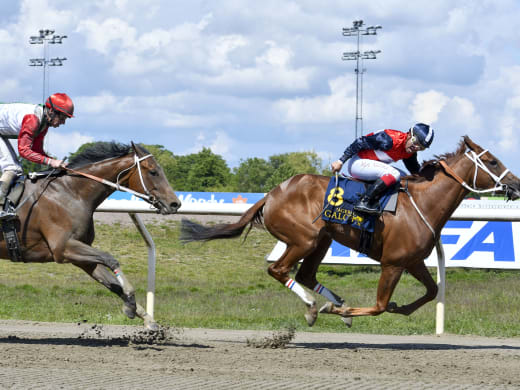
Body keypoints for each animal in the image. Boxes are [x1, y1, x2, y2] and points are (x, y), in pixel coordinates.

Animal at [2, 142, 181, 330]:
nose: (175, 203)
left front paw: (143, 316)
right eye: (153, 172)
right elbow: (111, 259)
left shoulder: (81, 257)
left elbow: (113, 283)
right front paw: (131, 299)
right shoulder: (63, 248)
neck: (72, 193)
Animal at [182, 137, 520, 326]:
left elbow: (432, 292)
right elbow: (380, 306)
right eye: (491, 161)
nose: (516, 184)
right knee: (279, 270)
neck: (422, 203)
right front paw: (340, 311)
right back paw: (313, 307)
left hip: (322, 240)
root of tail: (271, 194)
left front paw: (398, 308)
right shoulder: (393, 264)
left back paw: (334, 303)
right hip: (303, 239)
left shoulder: (412, 261)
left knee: (305, 275)